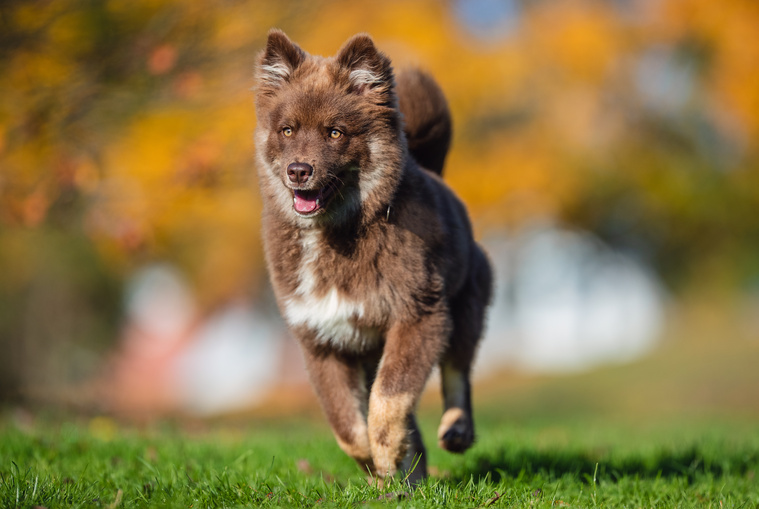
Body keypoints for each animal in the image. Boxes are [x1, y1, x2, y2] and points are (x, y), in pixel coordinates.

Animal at [254, 29, 492, 482]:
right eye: (288, 130)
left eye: (334, 133)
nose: (298, 171)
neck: (335, 233)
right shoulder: (321, 340)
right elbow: (348, 425)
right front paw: (378, 462)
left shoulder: (419, 315)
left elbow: (388, 399)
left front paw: (386, 451)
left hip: (464, 305)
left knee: (458, 373)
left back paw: (456, 430)